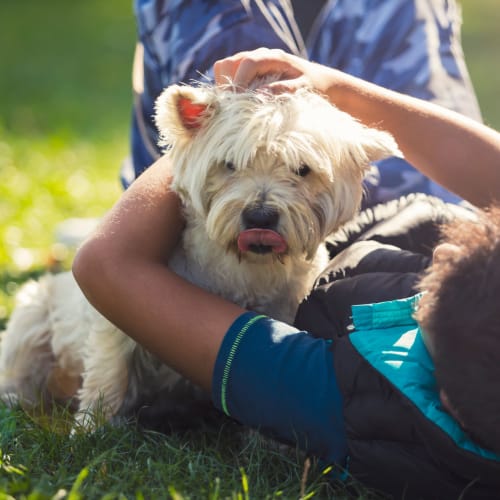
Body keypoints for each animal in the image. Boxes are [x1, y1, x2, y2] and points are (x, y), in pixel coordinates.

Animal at [0, 82, 400, 430]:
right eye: (229, 165)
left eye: (302, 170)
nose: (260, 216)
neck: (244, 267)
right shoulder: (112, 311)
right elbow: (109, 371)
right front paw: (90, 429)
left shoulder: (284, 311)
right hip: (34, 312)